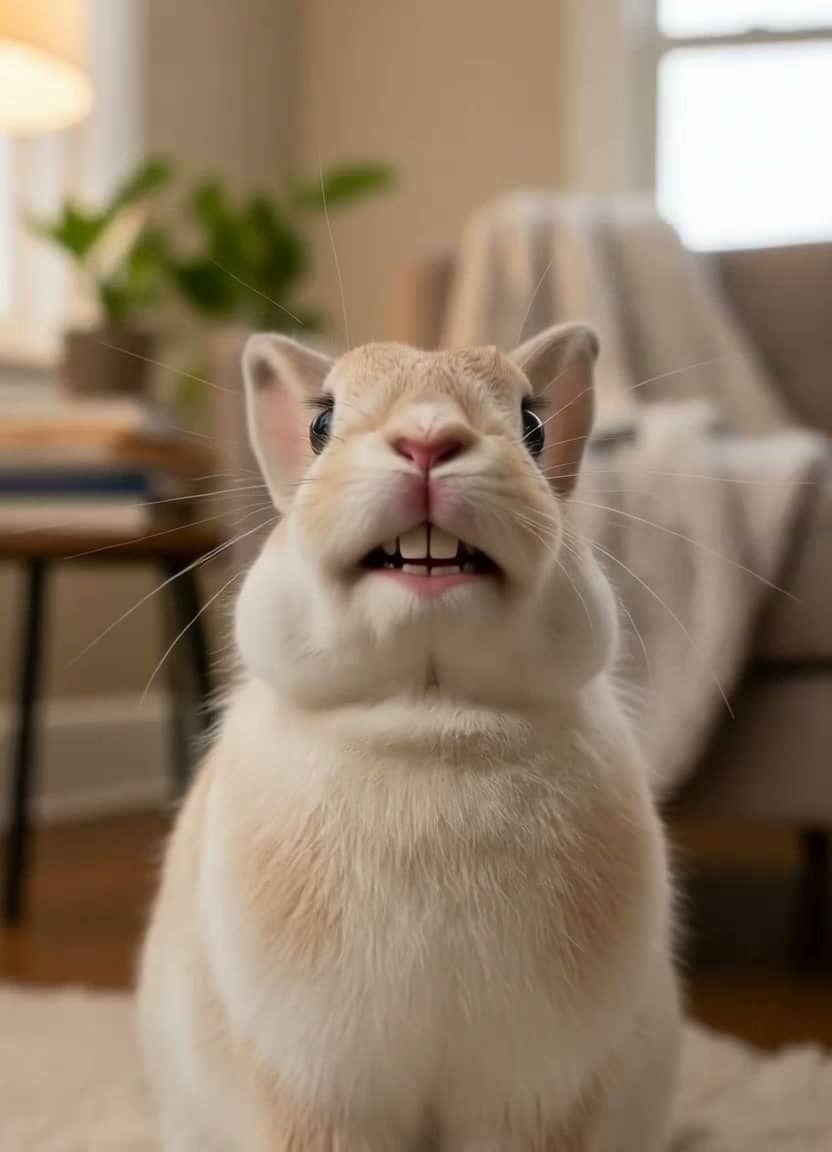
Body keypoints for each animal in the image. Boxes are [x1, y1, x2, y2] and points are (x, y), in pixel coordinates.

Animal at [138, 323, 680, 1152]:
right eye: (322, 423)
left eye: (532, 424)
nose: (429, 441)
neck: (428, 717)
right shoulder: (318, 1095)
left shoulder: (537, 1095)